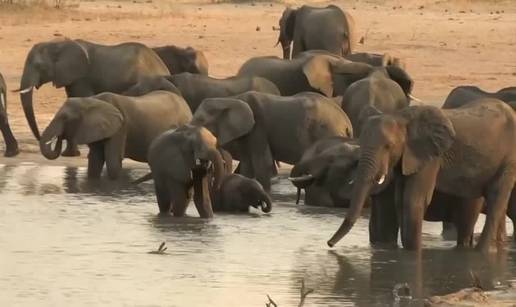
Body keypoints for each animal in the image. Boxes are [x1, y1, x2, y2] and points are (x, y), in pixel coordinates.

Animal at [18, 37, 169, 156]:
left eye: (39, 66)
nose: (39, 139)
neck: (58, 44)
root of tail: (162, 66)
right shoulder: (72, 78)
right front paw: (70, 154)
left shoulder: (82, 77)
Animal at [38, 90, 191, 179]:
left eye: (65, 118)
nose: (59, 137)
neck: (91, 100)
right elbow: (94, 161)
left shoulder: (121, 128)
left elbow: (113, 162)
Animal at [190, 91, 354, 192]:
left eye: (201, 120)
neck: (230, 99)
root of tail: (347, 123)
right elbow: (248, 166)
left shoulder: (258, 127)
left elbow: (263, 164)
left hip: (327, 132)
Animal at [326, 100, 516, 254]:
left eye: (388, 146)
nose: (329, 244)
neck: (401, 117)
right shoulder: (407, 157)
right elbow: (401, 202)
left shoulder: (430, 156)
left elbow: (413, 201)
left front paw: (414, 255)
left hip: (509, 159)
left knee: (496, 199)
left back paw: (479, 253)